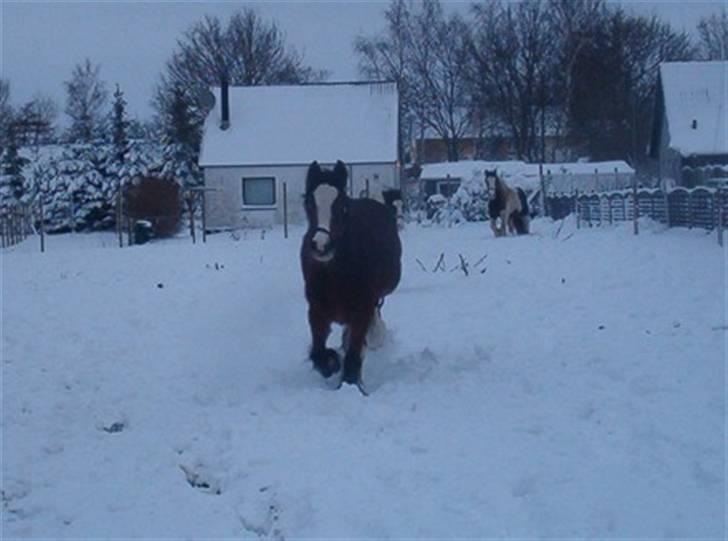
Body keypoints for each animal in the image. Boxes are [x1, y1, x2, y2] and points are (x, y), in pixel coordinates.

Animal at [302, 160, 404, 392]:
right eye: (309, 204)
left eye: (342, 206)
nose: (321, 246)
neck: (335, 274)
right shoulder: (316, 311)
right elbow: (319, 353)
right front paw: (332, 362)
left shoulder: (362, 310)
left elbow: (354, 355)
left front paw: (351, 382)